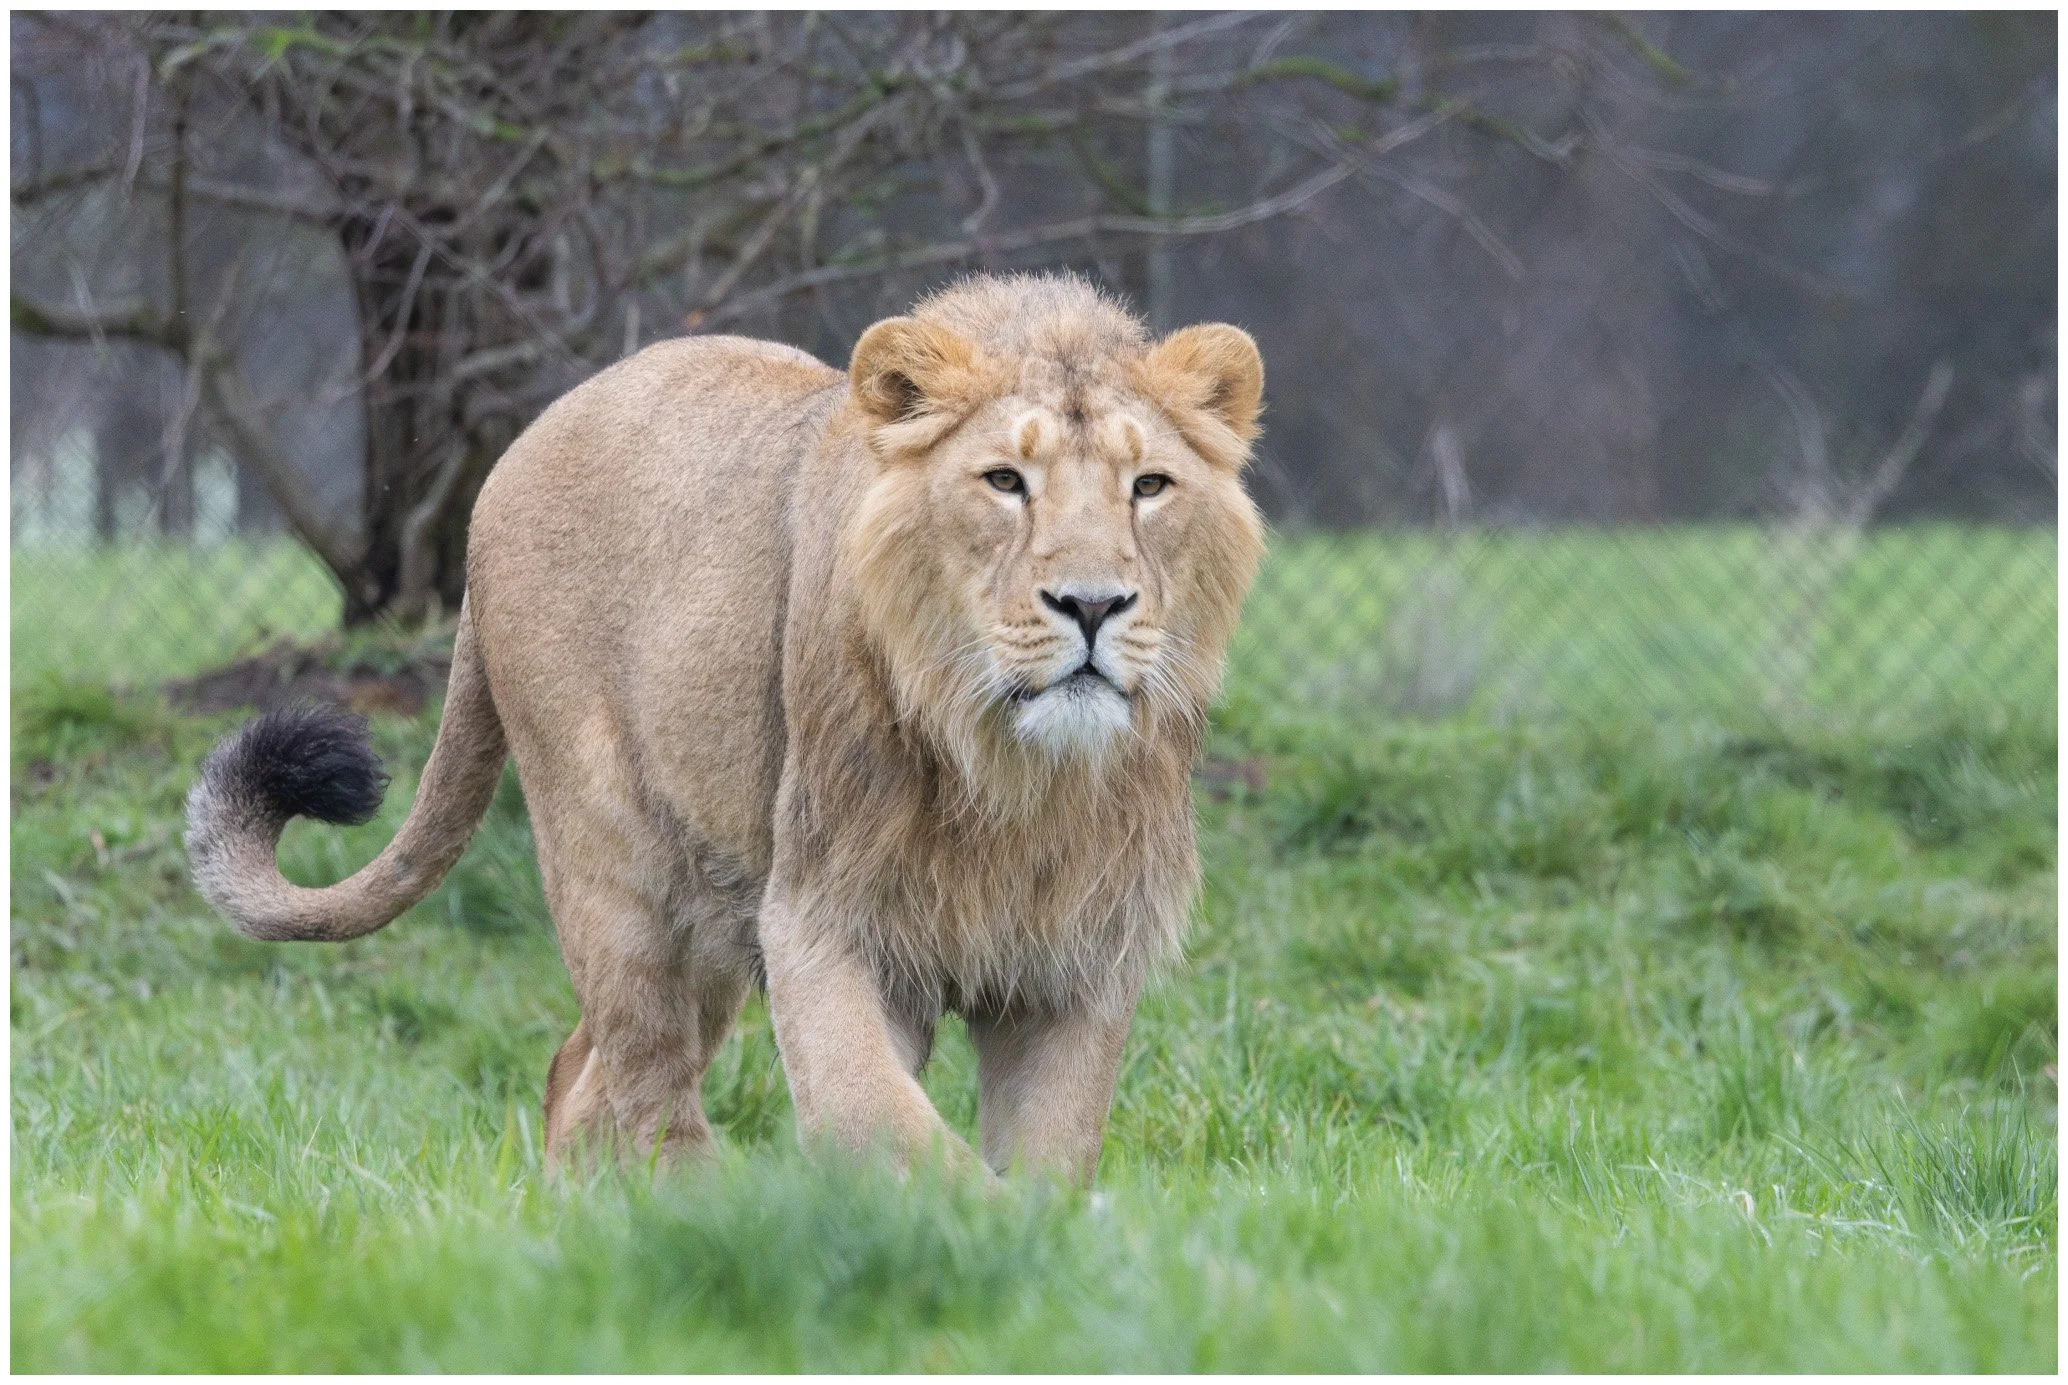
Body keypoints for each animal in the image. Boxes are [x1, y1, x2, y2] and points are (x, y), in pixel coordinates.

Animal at [185, 273, 1265, 1182]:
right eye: (1004, 480)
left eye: (1149, 486)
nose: (1093, 603)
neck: (1014, 773)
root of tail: (513, 455)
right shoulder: (820, 916)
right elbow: (886, 1120)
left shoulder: (1077, 959)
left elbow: (1049, 1154)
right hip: (619, 870)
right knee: (645, 1079)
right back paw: (698, 1209)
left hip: (709, 912)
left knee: (580, 1072)